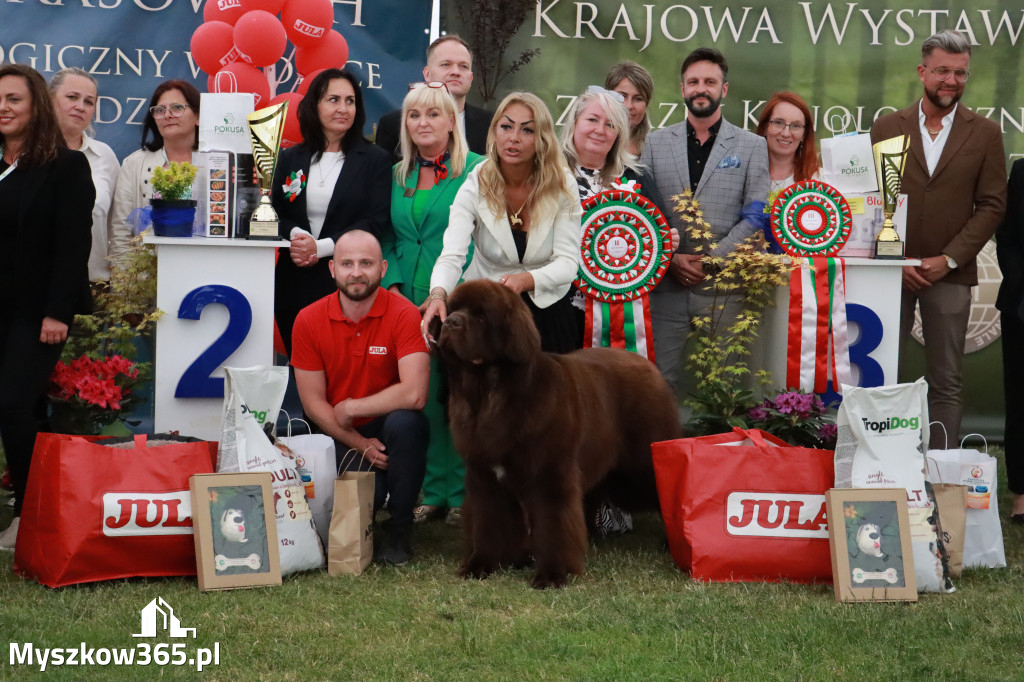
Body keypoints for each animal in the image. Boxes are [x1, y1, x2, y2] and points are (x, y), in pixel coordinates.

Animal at [432, 278, 679, 585]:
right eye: (452, 308)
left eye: (480, 315)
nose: (450, 322)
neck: (489, 391)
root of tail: (646, 364)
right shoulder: (484, 475)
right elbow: (486, 520)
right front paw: (481, 565)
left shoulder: (550, 472)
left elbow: (555, 523)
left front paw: (552, 575)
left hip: (640, 466)